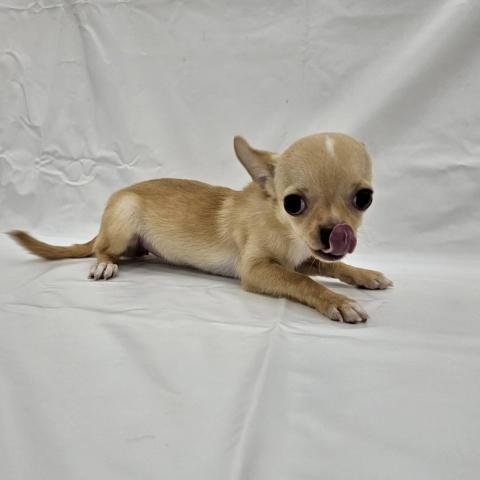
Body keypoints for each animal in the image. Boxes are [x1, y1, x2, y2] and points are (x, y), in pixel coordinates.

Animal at [9, 133, 392, 323]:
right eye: (293, 204)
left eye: (364, 199)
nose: (335, 233)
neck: (285, 229)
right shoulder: (259, 270)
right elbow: (304, 282)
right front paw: (338, 301)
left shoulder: (305, 257)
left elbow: (335, 266)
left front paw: (367, 276)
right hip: (123, 221)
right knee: (103, 250)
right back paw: (104, 264)